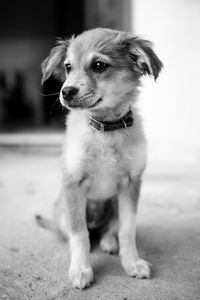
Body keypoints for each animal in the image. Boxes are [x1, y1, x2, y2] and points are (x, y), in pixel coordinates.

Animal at [38, 28, 162, 288]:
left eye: (98, 65)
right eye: (68, 67)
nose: (66, 92)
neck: (106, 129)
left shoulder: (131, 184)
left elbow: (127, 230)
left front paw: (132, 262)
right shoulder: (74, 184)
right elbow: (80, 234)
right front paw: (80, 269)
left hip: (113, 202)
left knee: (110, 229)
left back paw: (108, 242)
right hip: (63, 211)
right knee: (74, 232)